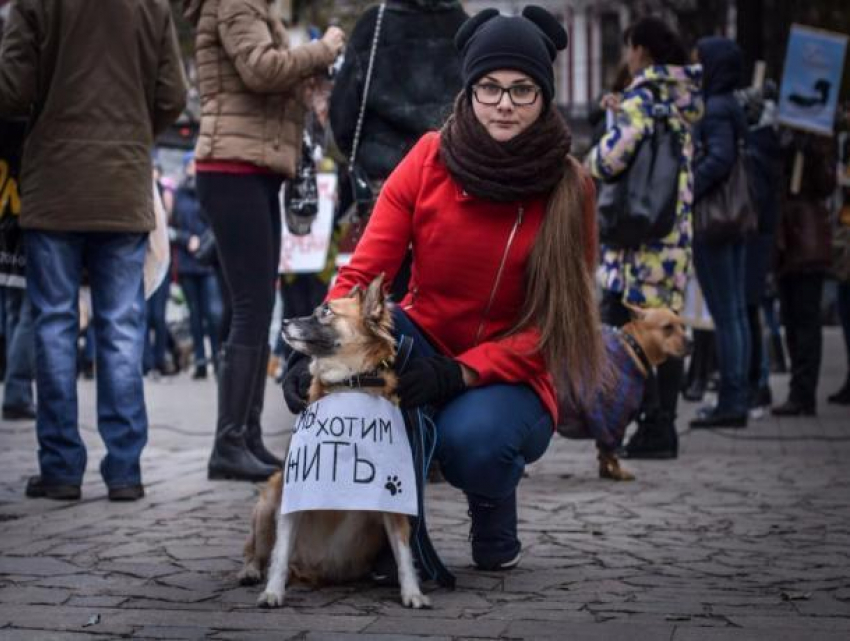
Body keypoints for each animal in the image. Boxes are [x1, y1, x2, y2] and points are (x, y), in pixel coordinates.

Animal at [235, 276, 428, 608]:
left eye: (326, 312)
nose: (283, 322)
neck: (349, 384)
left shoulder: (392, 501)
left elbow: (404, 554)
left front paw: (413, 593)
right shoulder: (294, 490)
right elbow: (279, 553)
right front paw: (272, 592)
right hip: (269, 498)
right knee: (255, 550)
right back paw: (251, 571)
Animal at [556, 304, 688, 480]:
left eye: (683, 326)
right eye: (667, 327)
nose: (691, 342)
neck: (634, 348)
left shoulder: (606, 427)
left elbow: (603, 453)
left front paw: (606, 472)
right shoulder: (614, 422)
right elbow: (611, 453)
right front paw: (617, 472)